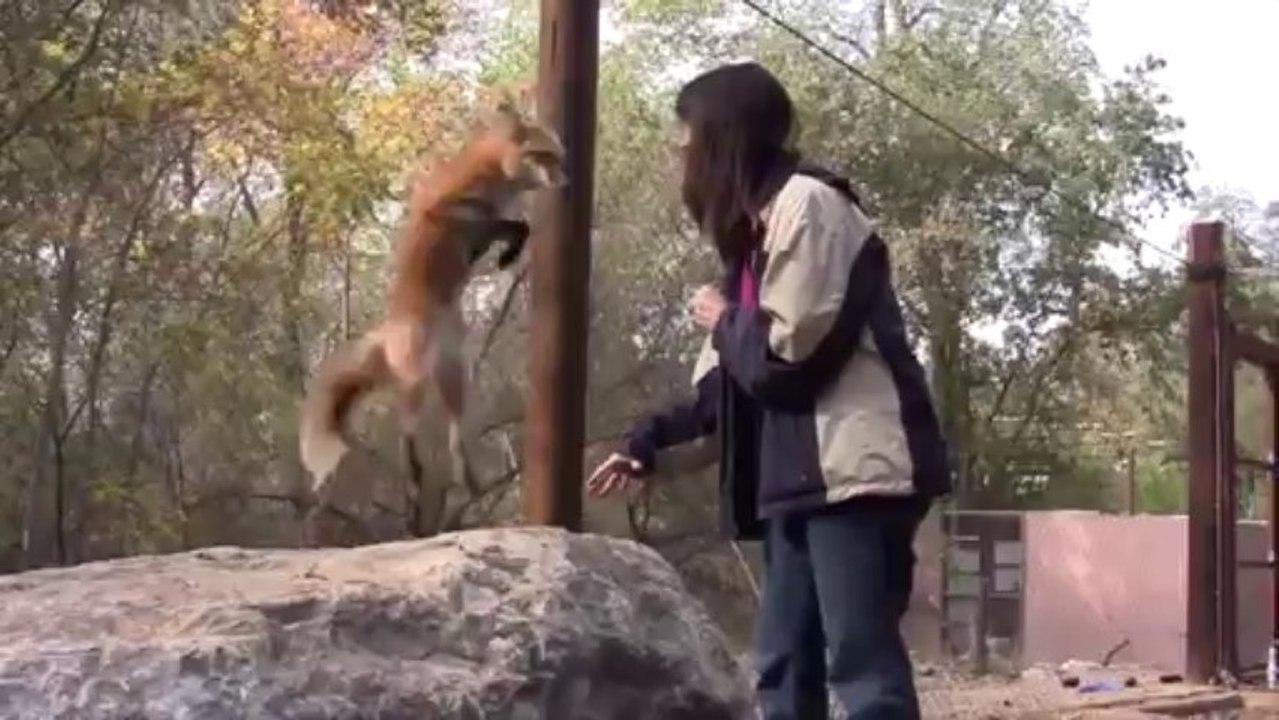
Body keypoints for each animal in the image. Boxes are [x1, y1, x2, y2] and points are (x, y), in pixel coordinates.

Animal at [298, 87, 566, 535]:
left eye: (560, 156)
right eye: (545, 156)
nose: (567, 179)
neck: (492, 179)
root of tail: (391, 330)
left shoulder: (484, 222)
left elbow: (517, 225)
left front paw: (508, 254)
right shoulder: (448, 215)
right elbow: (515, 225)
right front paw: (508, 254)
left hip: (455, 375)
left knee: (455, 438)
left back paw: (465, 480)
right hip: (416, 377)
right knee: (406, 435)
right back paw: (413, 487)